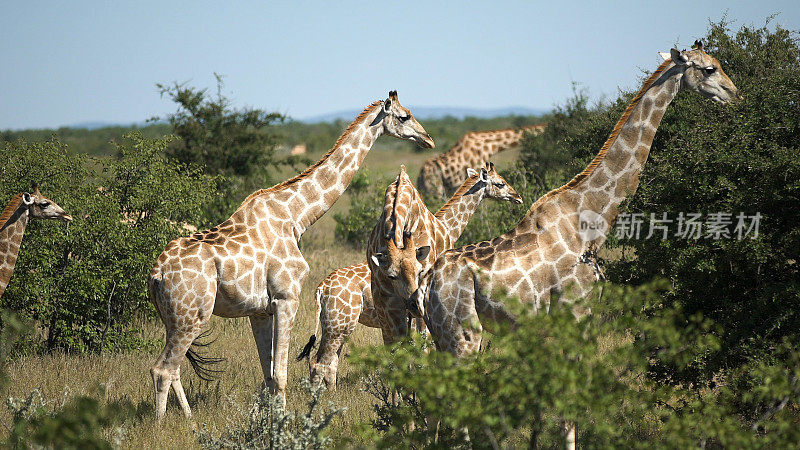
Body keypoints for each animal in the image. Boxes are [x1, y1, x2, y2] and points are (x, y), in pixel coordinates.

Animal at [148, 89, 438, 420]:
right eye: (404, 116)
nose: (428, 139)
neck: (296, 216)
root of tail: (156, 273)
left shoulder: (259, 310)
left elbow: (268, 374)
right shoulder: (287, 298)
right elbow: (281, 375)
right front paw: (281, 424)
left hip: (172, 318)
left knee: (174, 369)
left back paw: (190, 420)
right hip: (191, 315)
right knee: (162, 369)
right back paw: (161, 426)